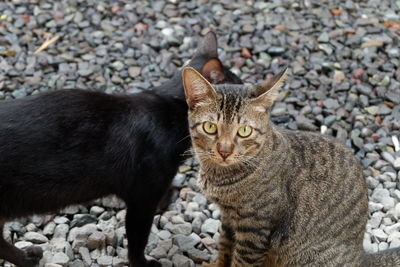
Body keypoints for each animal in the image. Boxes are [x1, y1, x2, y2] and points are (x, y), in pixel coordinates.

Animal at [0, 31, 241, 267]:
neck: (170, 111)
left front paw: (168, 198)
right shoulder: (142, 197)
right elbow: (137, 239)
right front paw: (142, 263)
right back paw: (27, 258)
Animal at [183, 66, 400, 266]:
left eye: (244, 131)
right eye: (210, 127)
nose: (225, 151)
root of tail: (361, 258)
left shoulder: (255, 228)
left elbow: (240, 261)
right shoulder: (228, 218)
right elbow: (225, 247)